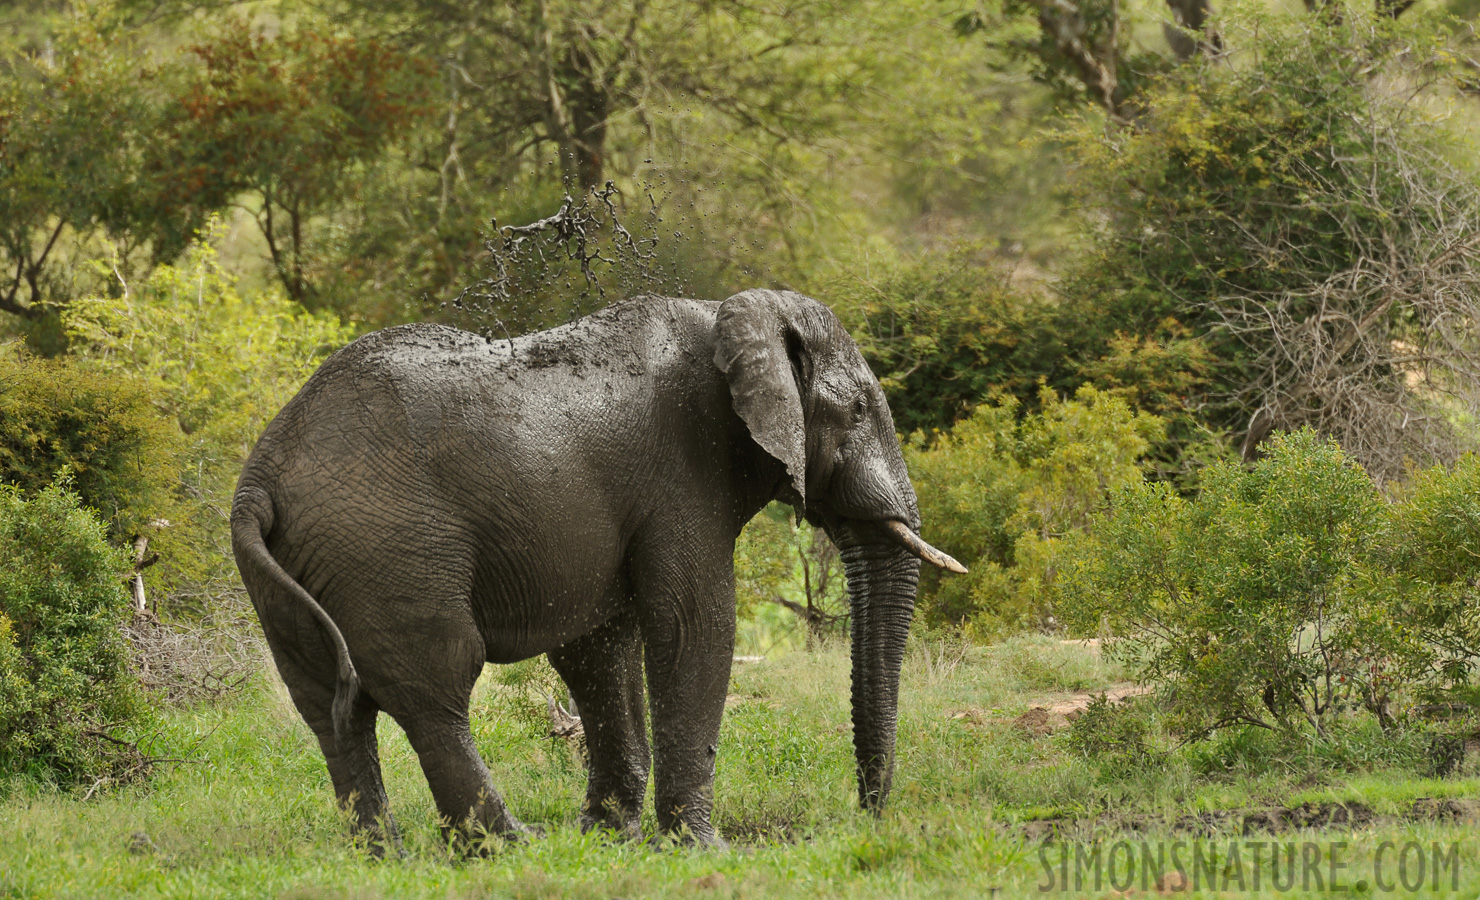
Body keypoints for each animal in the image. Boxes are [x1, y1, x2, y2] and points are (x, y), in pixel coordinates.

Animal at [227, 288, 970, 852]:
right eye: (860, 410)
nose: (866, 815)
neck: (732, 316)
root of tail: (259, 480)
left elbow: (597, 648)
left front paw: (609, 834)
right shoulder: (684, 474)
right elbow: (694, 626)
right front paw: (700, 848)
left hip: (304, 568)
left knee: (333, 706)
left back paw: (385, 854)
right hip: (391, 547)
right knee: (436, 685)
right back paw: (508, 846)